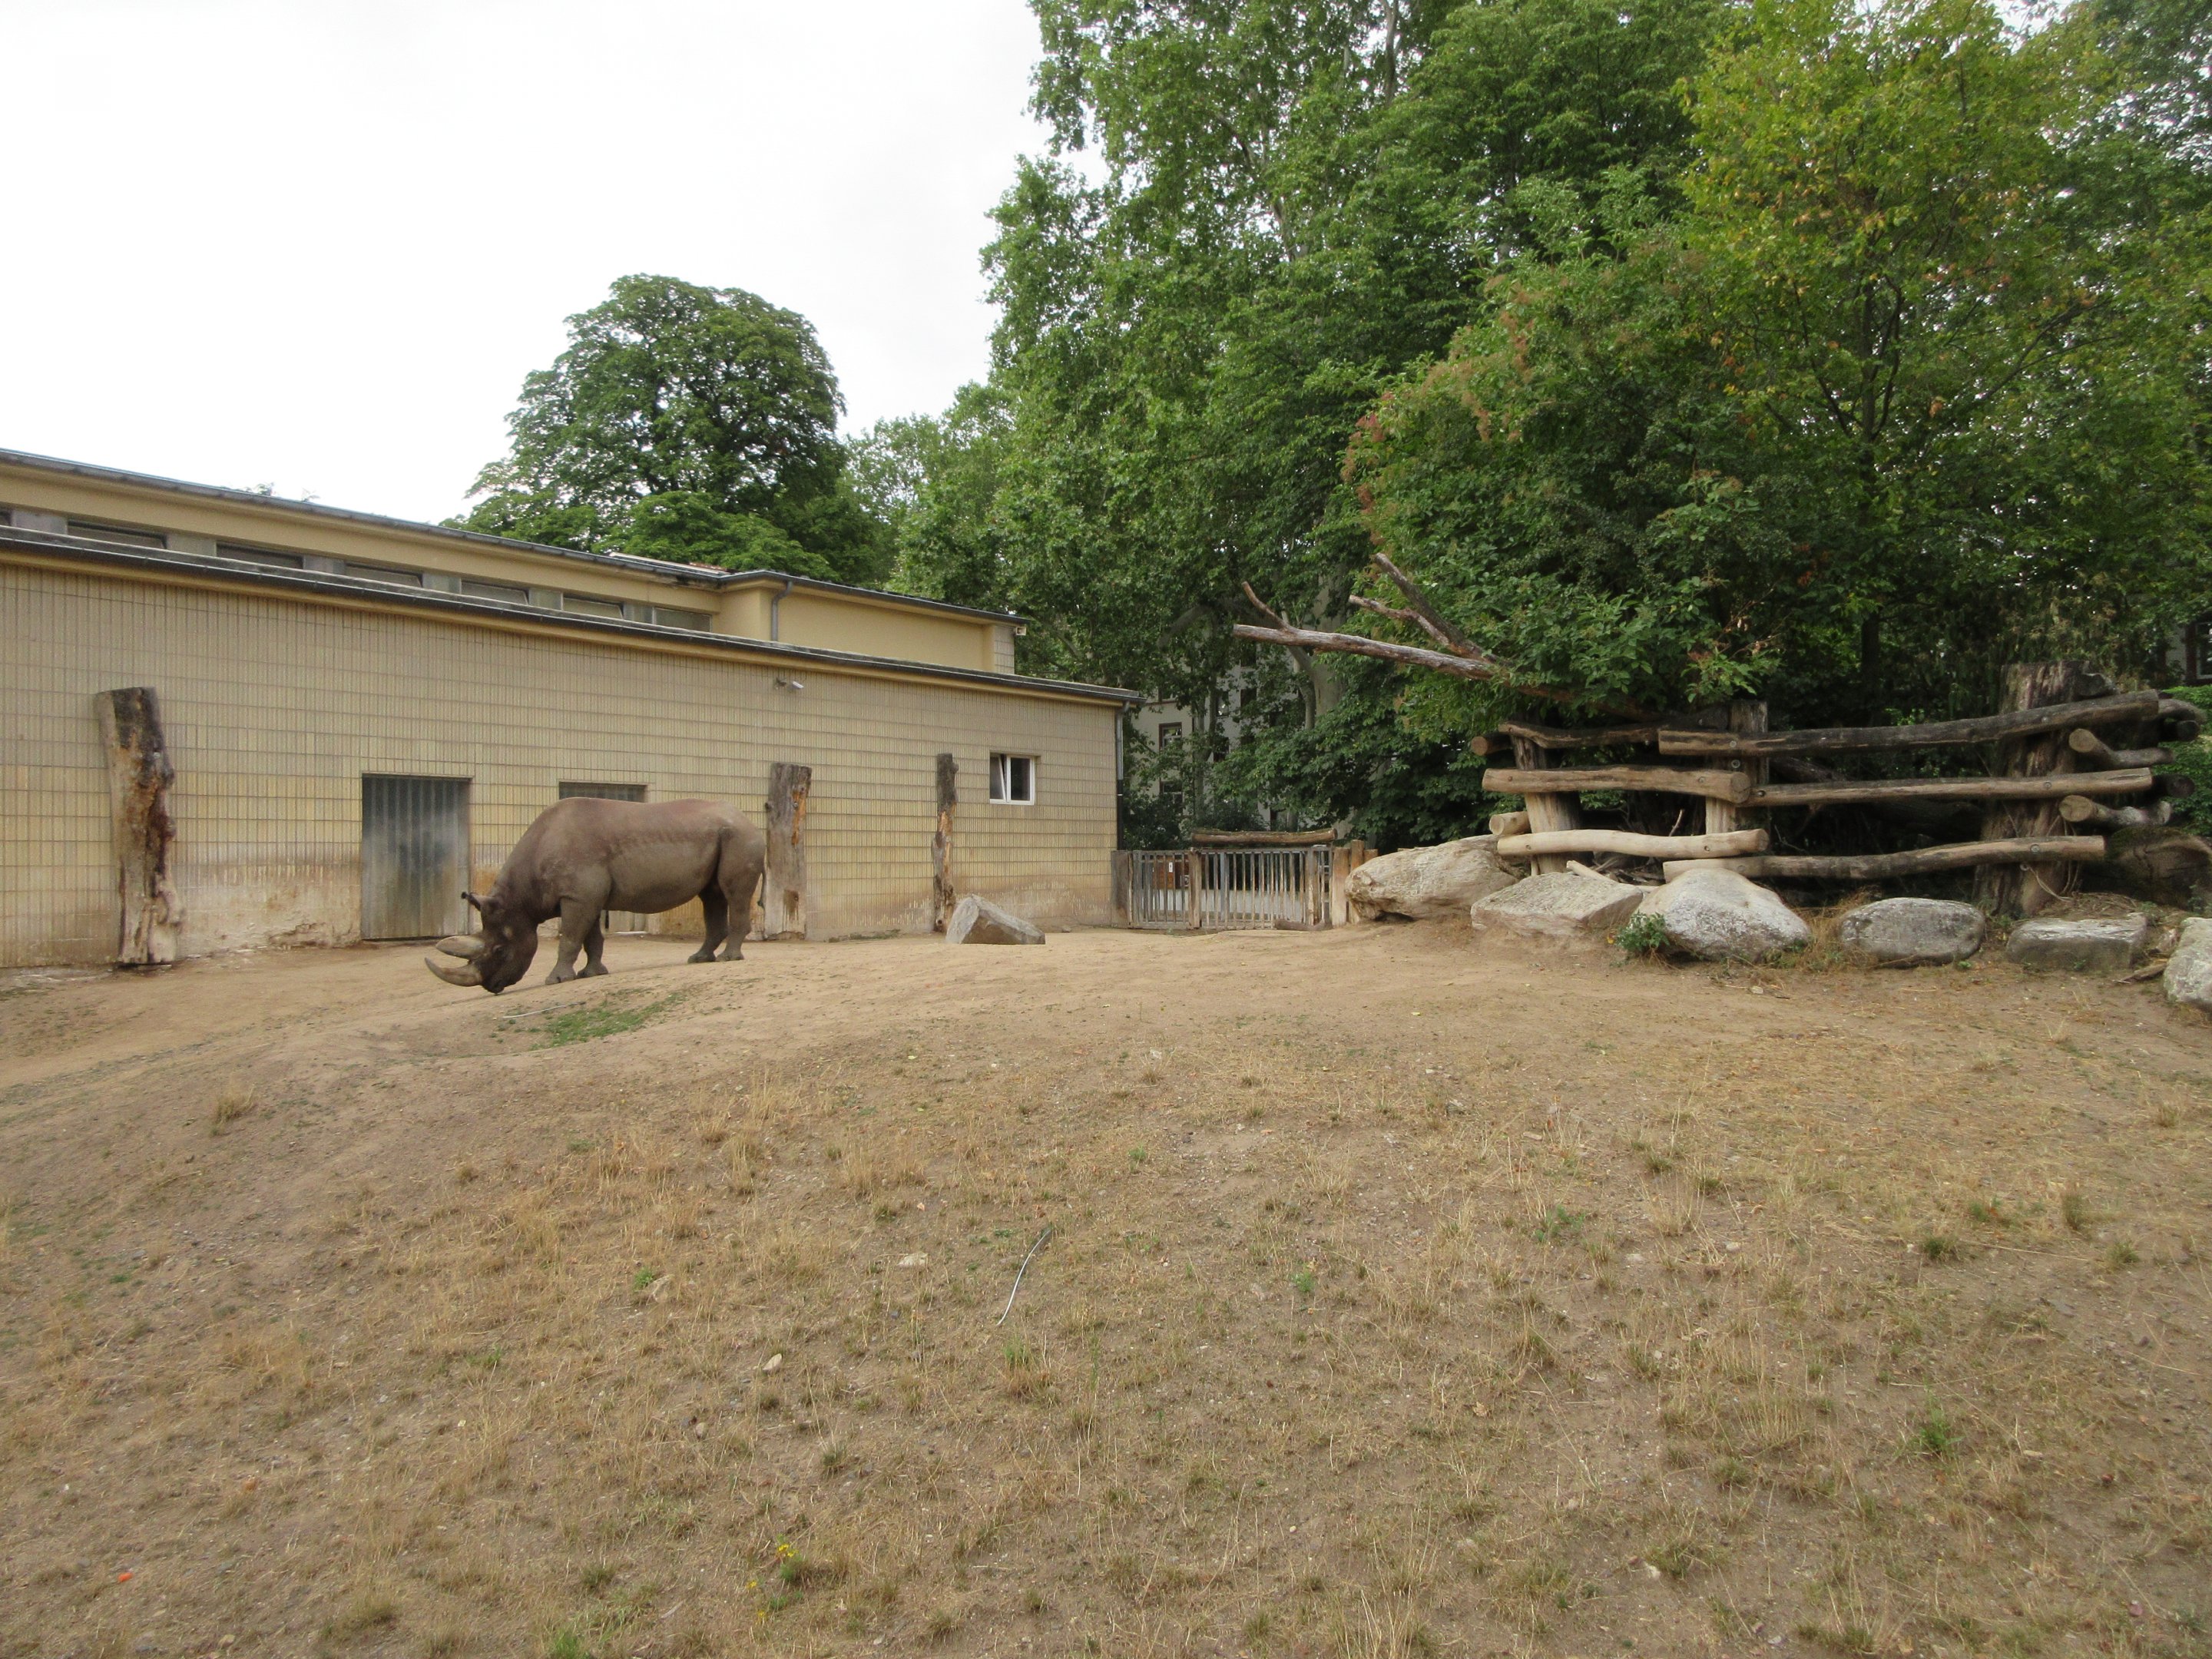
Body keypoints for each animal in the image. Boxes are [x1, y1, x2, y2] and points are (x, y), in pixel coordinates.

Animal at [425, 797, 765, 993]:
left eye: (499, 951)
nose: (491, 987)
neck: (520, 900)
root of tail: (749, 821)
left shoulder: (579, 895)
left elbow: (570, 938)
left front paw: (556, 981)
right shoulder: (583, 896)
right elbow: (590, 937)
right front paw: (591, 974)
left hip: (739, 837)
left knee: (733, 894)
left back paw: (729, 959)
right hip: (724, 835)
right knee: (712, 896)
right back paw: (699, 959)